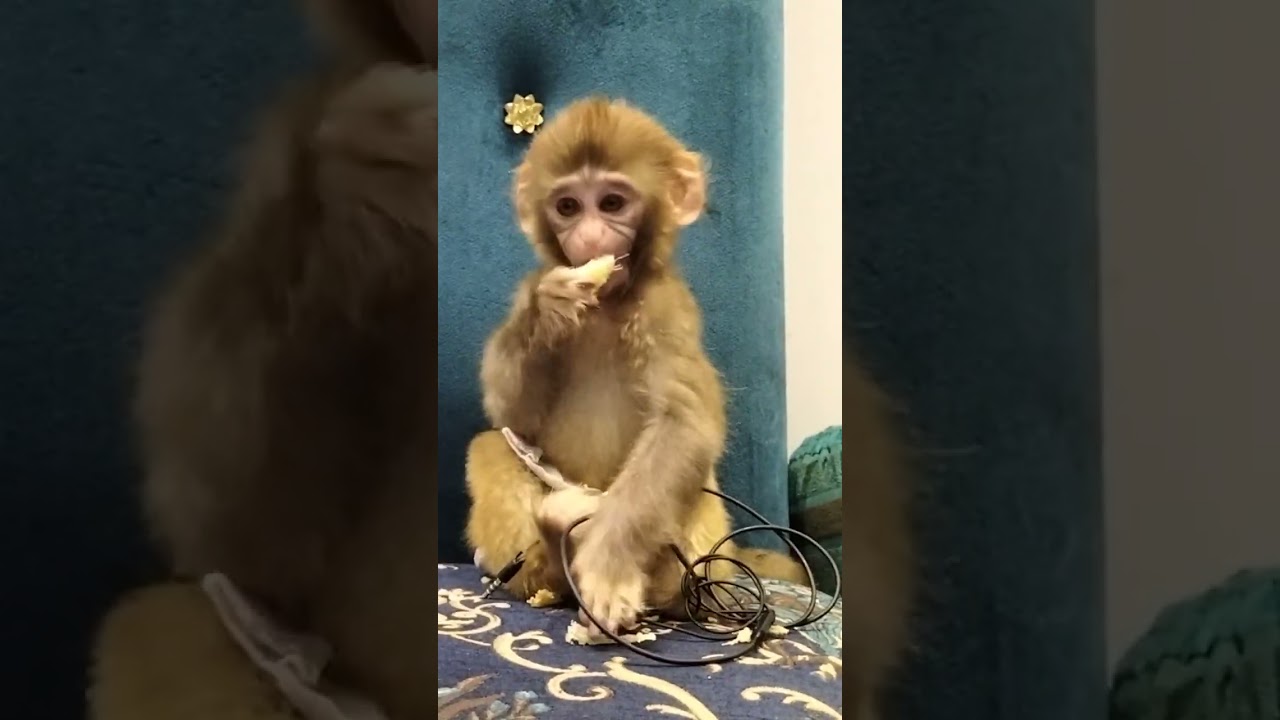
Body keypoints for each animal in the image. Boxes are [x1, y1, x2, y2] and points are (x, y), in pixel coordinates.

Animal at [464, 97, 807, 638]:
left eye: (611, 203)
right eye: (567, 207)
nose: (588, 237)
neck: (609, 302)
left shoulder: (666, 310)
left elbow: (684, 425)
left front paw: (607, 570)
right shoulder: (532, 283)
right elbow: (512, 417)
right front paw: (549, 310)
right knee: (492, 444)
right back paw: (549, 564)